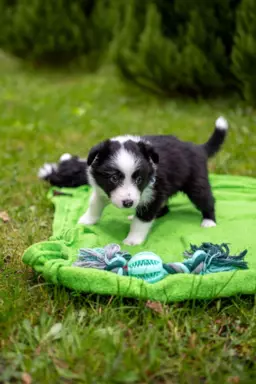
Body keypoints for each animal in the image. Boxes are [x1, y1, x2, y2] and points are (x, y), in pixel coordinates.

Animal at [38, 115, 228, 246]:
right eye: (114, 178)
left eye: (139, 179)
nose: (128, 203)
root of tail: (198, 147)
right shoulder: (102, 189)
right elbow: (95, 204)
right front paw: (87, 220)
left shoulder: (153, 195)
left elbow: (142, 220)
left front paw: (132, 240)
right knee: (165, 207)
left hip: (196, 183)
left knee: (206, 199)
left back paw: (209, 221)